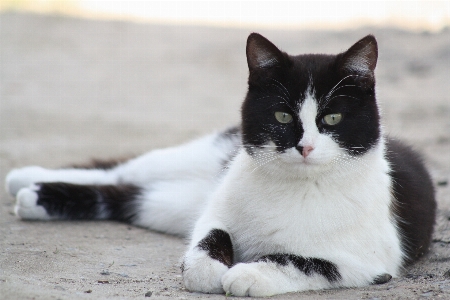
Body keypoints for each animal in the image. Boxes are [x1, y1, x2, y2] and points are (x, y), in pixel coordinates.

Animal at [5, 33, 436, 298]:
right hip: (202, 160)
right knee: (123, 170)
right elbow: (210, 234)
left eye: (332, 118)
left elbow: (306, 261)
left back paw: (34, 196)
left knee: (127, 194)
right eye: (281, 116)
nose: (305, 147)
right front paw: (208, 270)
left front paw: (248, 273)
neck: (296, 187)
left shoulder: (370, 260)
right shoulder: (214, 212)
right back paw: (24, 177)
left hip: (171, 204)